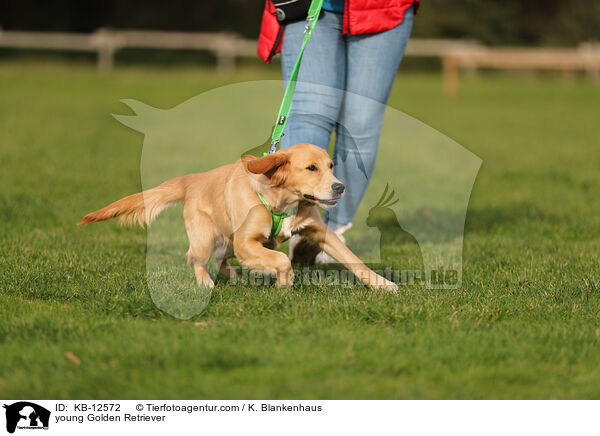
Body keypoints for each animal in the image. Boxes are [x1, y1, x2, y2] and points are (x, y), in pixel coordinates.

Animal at [81, 145, 398, 292]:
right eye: (311, 168)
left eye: (331, 166)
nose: (340, 187)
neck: (283, 200)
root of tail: (193, 180)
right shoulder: (247, 241)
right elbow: (282, 260)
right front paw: (285, 284)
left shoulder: (321, 232)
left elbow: (353, 259)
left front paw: (382, 284)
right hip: (209, 238)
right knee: (196, 259)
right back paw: (206, 283)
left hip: (228, 242)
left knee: (222, 260)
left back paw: (234, 276)